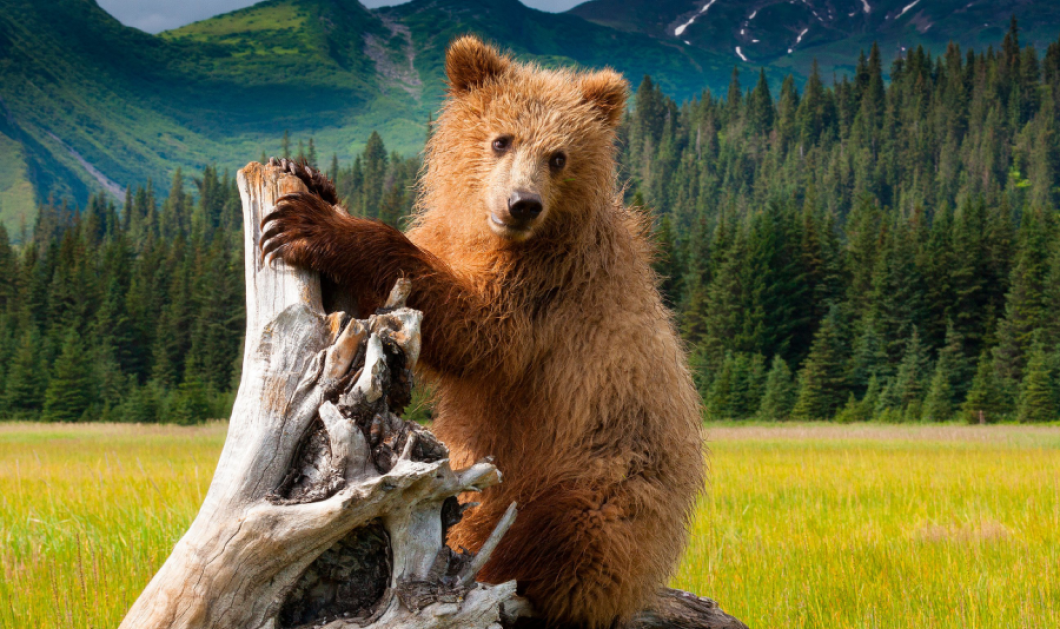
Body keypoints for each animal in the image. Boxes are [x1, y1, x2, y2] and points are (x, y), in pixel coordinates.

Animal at [258, 35, 703, 627]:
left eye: (559, 156)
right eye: (501, 139)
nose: (522, 204)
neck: (491, 234)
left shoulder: (547, 284)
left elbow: (482, 333)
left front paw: (315, 224)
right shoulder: (453, 238)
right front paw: (309, 179)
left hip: (602, 479)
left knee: (565, 536)